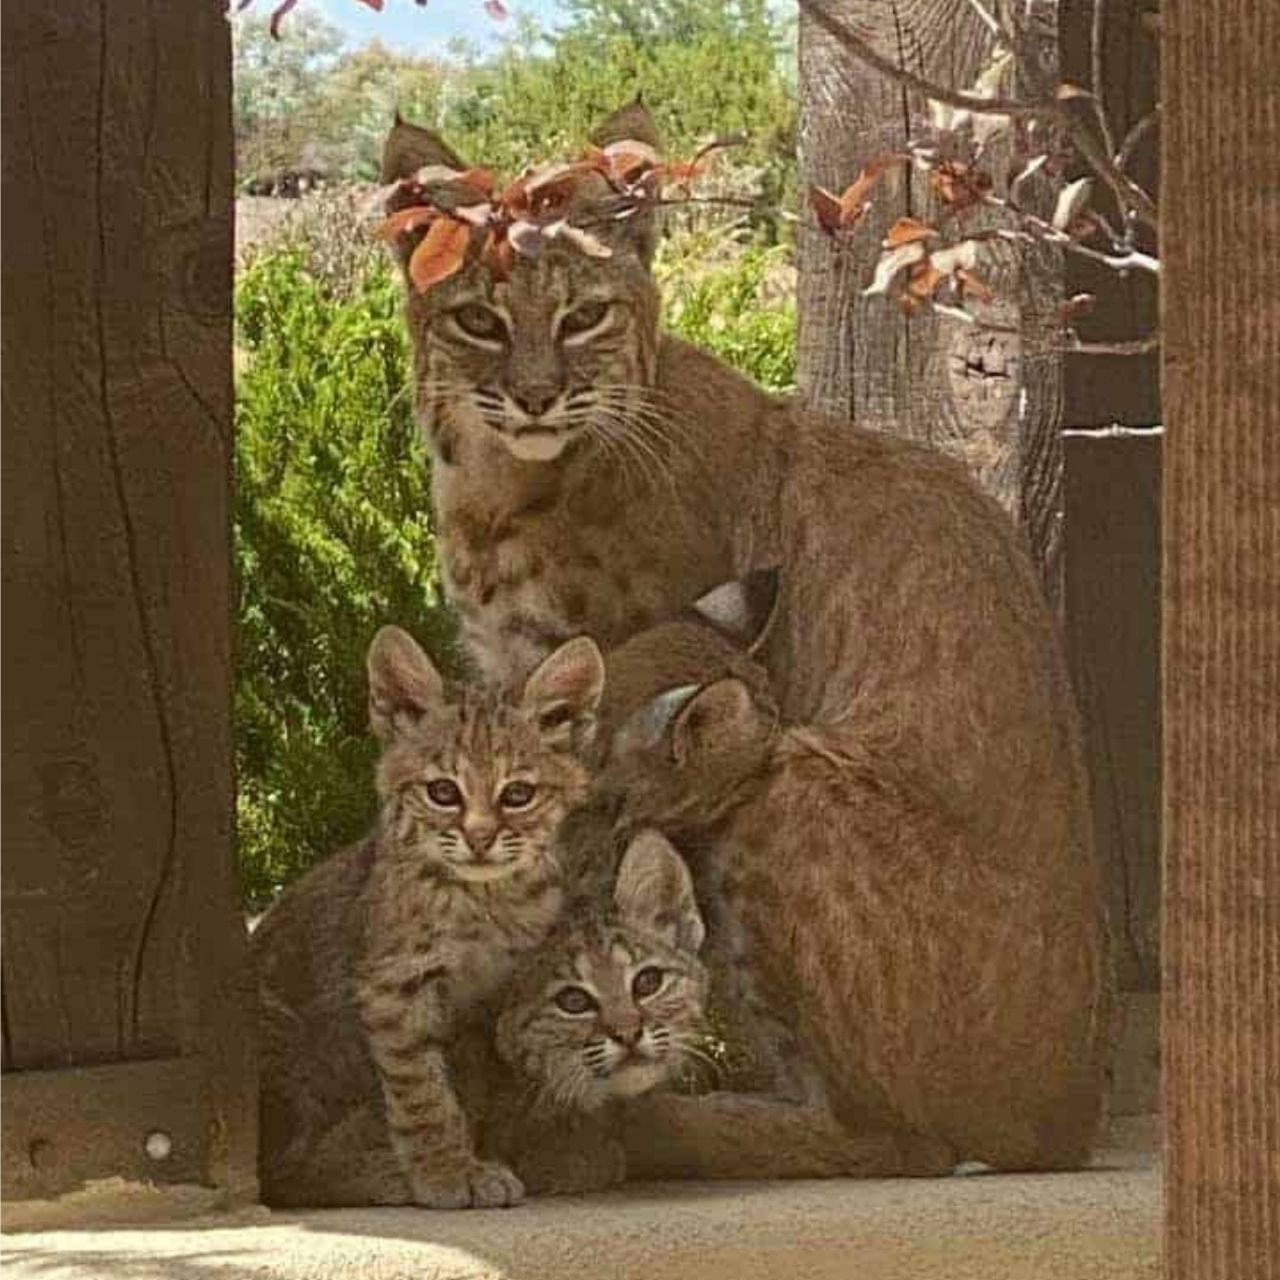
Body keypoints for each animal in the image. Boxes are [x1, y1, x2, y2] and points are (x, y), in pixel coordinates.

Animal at [254, 623, 605, 1208]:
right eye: (443, 792)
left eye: (518, 794)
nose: (480, 840)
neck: (486, 898)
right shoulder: (395, 986)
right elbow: (422, 1092)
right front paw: (445, 1173)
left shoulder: (499, 998)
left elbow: (481, 1088)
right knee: (279, 1173)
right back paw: (381, 1177)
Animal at [380, 102, 1109, 1171]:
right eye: (481, 320)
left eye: (583, 317)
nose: (537, 396)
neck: (496, 480)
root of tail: (1072, 1116)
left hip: (789, 777)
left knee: (890, 1138)